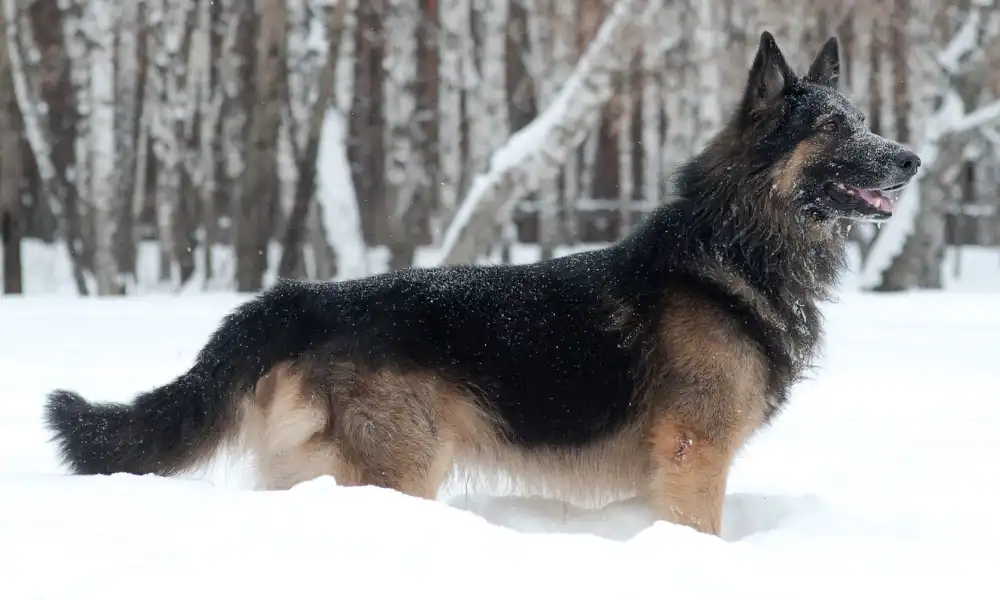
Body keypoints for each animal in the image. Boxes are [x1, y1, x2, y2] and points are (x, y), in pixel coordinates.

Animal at [48, 31, 920, 536]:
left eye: (864, 118)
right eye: (835, 129)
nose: (912, 158)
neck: (735, 245)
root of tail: (304, 299)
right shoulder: (694, 458)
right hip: (401, 473)